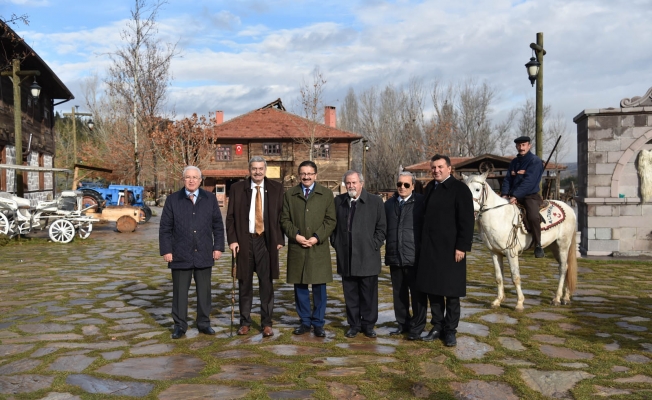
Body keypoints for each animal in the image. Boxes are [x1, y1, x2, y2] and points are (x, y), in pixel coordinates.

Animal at [464, 171, 576, 310]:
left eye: (477, 189)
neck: (499, 216)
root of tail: (569, 209)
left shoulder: (511, 252)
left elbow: (515, 277)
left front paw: (519, 303)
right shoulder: (495, 253)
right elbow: (499, 277)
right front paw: (497, 301)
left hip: (563, 245)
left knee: (563, 269)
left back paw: (557, 298)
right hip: (554, 247)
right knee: (566, 266)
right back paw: (566, 297)